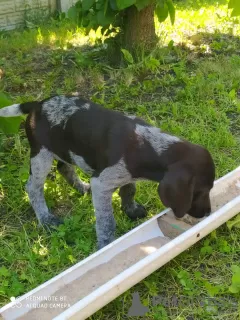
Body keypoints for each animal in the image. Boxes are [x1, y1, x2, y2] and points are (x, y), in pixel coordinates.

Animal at [0, 95, 215, 250]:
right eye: (200, 191)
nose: (207, 212)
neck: (149, 146)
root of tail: (38, 105)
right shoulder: (102, 183)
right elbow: (106, 221)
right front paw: (105, 243)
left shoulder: (126, 175)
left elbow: (129, 190)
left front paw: (130, 209)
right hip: (42, 154)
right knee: (33, 187)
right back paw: (46, 218)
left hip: (65, 150)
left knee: (64, 168)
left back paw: (81, 187)